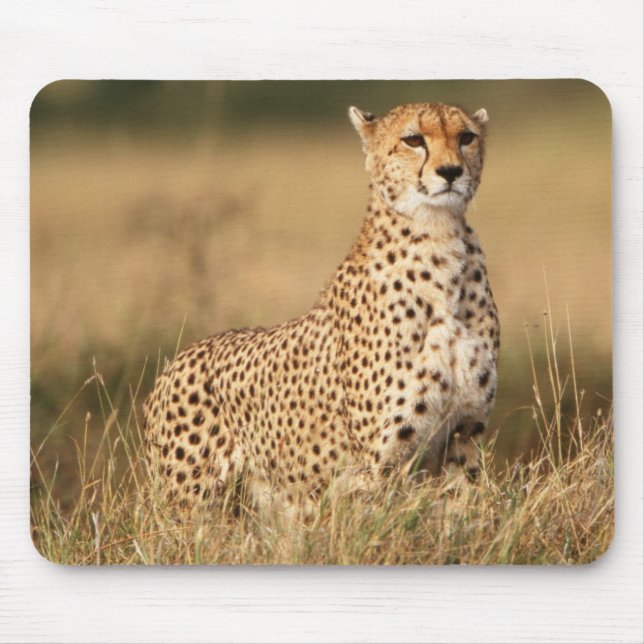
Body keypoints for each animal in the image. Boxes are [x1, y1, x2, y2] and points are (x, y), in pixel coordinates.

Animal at [142, 102, 500, 517]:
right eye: (413, 140)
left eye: (466, 137)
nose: (451, 172)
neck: (439, 239)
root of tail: (176, 360)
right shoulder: (380, 463)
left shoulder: (464, 436)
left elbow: (464, 516)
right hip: (190, 503)